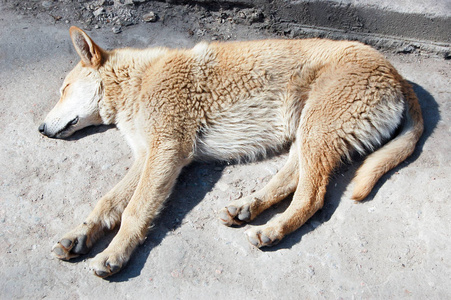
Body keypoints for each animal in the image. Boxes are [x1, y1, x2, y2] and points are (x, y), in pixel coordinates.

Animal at [38, 27, 424, 278]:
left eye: (64, 89)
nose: (40, 129)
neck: (137, 82)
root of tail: (396, 73)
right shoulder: (147, 155)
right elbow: (108, 203)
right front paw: (80, 235)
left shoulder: (166, 151)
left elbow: (134, 211)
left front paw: (115, 253)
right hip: (307, 134)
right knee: (291, 180)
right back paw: (248, 206)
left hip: (316, 132)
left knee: (312, 197)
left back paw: (274, 229)